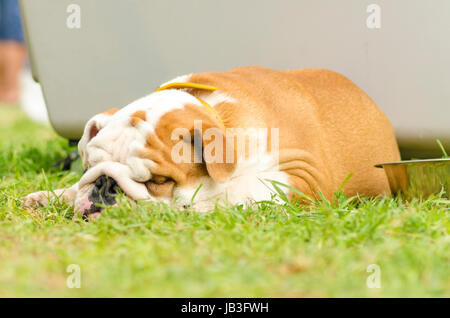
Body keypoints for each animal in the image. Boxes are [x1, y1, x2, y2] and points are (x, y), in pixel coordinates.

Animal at [22, 67, 400, 216]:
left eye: (160, 181)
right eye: (91, 166)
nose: (105, 185)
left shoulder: (301, 176)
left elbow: (237, 190)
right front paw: (53, 195)